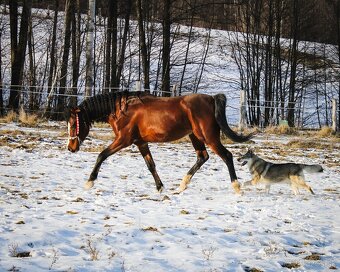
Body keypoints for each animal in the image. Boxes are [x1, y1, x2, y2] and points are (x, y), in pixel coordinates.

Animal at [66, 91, 252, 193]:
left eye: (74, 124)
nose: (71, 148)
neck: (123, 111)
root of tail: (212, 99)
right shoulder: (140, 143)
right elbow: (151, 165)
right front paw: (160, 188)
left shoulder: (123, 140)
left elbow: (101, 155)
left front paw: (89, 182)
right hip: (195, 137)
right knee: (202, 157)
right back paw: (181, 186)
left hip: (208, 137)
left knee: (227, 156)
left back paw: (237, 187)